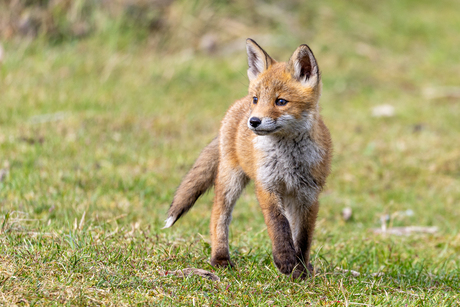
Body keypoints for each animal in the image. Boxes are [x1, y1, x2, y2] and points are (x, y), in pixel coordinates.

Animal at [164, 38, 332, 280]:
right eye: (257, 99)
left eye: (281, 101)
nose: (253, 121)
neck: (288, 159)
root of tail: (238, 105)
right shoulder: (267, 185)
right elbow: (278, 225)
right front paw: (285, 261)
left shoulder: (309, 195)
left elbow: (302, 237)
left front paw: (300, 269)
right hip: (231, 179)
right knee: (218, 216)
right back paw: (220, 259)